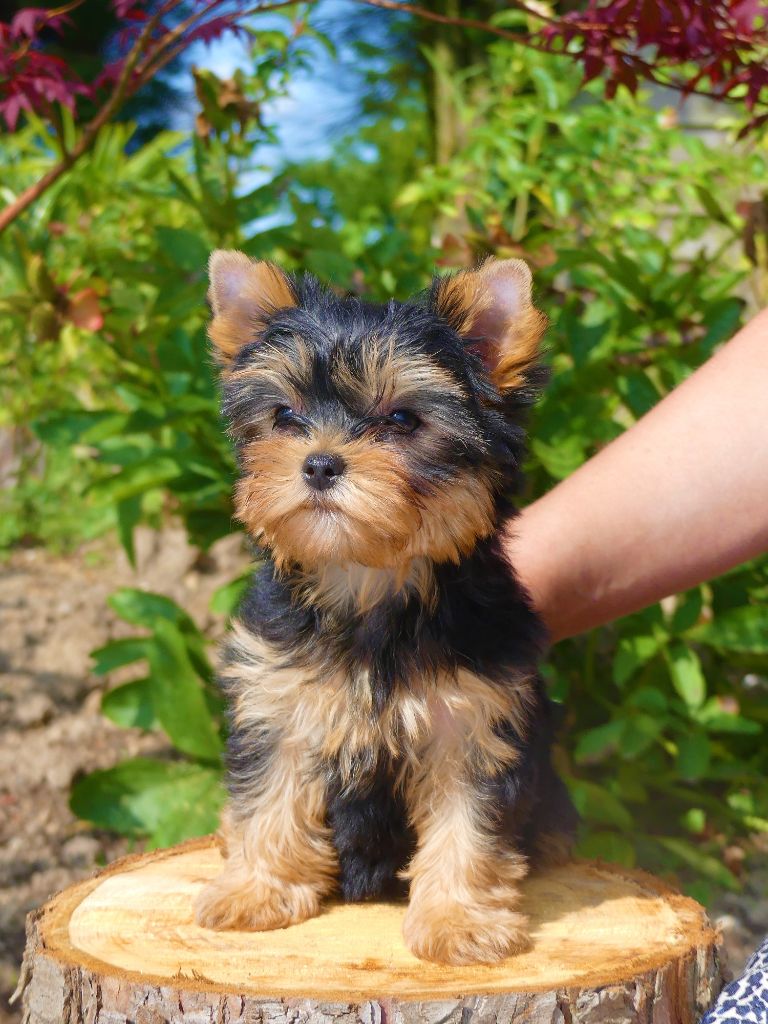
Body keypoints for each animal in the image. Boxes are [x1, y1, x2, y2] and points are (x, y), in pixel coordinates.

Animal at [192, 251, 577, 962]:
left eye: (401, 420)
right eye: (283, 416)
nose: (319, 463)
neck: (366, 582)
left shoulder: (473, 720)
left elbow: (468, 824)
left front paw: (458, 921)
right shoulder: (279, 700)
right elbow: (271, 794)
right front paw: (256, 889)